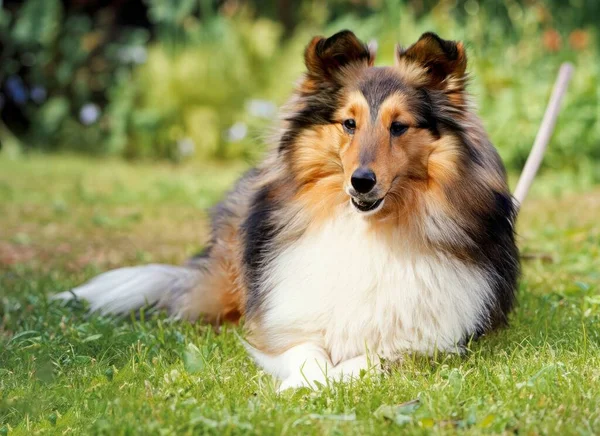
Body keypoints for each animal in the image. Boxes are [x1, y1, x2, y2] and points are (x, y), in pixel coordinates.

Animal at [54, 30, 516, 390]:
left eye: (399, 126)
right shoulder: (288, 318)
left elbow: (371, 357)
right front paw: (303, 382)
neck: (367, 228)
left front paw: (330, 379)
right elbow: (305, 352)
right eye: (348, 123)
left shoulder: (429, 339)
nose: (361, 182)